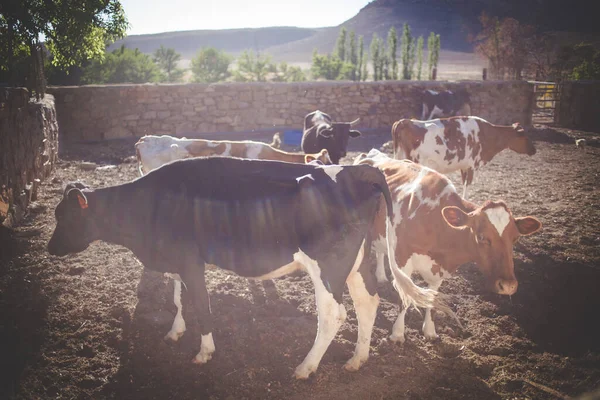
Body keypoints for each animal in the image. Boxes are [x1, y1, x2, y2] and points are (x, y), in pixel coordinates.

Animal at [48, 155, 440, 380]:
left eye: (65, 217)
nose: (50, 248)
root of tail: (357, 171)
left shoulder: (191, 261)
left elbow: (201, 307)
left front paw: (204, 352)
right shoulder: (175, 260)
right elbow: (177, 298)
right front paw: (175, 331)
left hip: (327, 266)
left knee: (334, 314)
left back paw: (305, 367)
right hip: (357, 262)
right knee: (368, 302)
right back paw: (358, 359)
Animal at [354, 150, 540, 344]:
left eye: (515, 238)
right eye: (481, 237)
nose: (508, 286)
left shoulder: (439, 268)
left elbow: (432, 299)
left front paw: (429, 331)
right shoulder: (402, 260)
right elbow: (404, 299)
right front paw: (397, 334)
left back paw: (381, 276)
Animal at [392, 115, 536, 198]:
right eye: (525, 136)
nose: (534, 150)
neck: (488, 134)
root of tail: (404, 122)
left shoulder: (464, 166)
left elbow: (464, 184)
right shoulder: (473, 165)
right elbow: (468, 186)